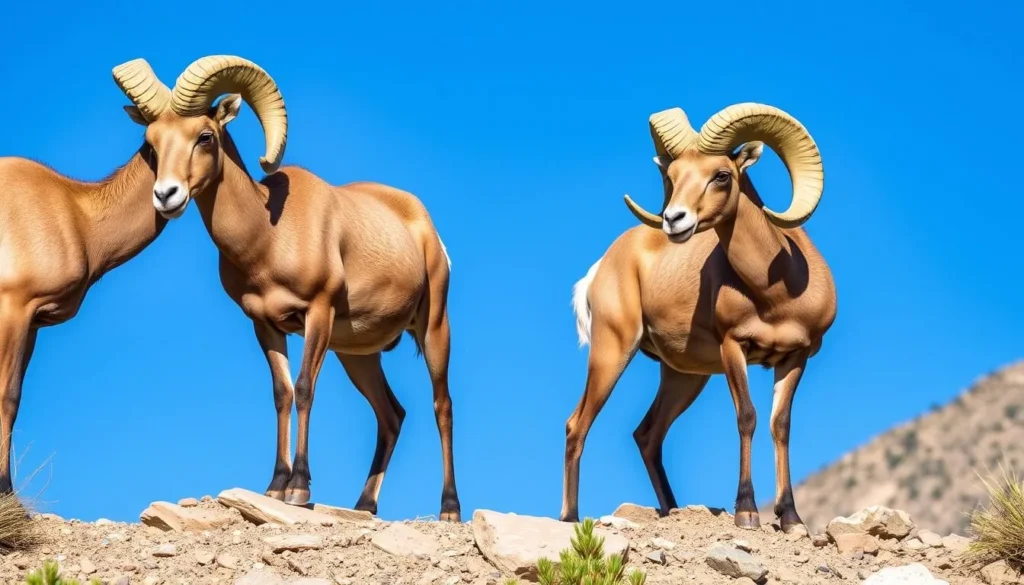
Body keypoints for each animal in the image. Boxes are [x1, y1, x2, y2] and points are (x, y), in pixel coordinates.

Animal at [0, 59, 172, 497]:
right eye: (151, 139)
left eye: (206, 133)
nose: (168, 194)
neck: (75, 213)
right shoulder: (12, 307)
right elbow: (5, 394)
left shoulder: (33, 323)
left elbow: (16, 397)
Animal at [124, 55, 461, 520]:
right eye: (153, 143)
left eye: (205, 136)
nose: (166, 195)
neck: (269, 236)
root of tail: (424, 224)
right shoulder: (266, 325)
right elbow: (281, 394)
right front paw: (275, 486)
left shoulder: (318, 312)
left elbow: (304, 390)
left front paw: (299, 488)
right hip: (358, 355)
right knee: (391, 415)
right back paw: (364, 505)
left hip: (433, 329)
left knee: (441, 407)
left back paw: (449, 509)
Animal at [564, 103, 837, 533]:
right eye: (673, 177)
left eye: (722, 175)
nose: (674, 219)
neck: (776, 293)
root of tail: (600, 268)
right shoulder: (734, 349)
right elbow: (747, 418)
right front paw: (747, 513)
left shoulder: (794, 358)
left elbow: (780, 426)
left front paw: (791, 518)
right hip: (613, 351)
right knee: (577, 425)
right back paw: (570, 518)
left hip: (683, 377)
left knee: (648, 435)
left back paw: (672, 509)